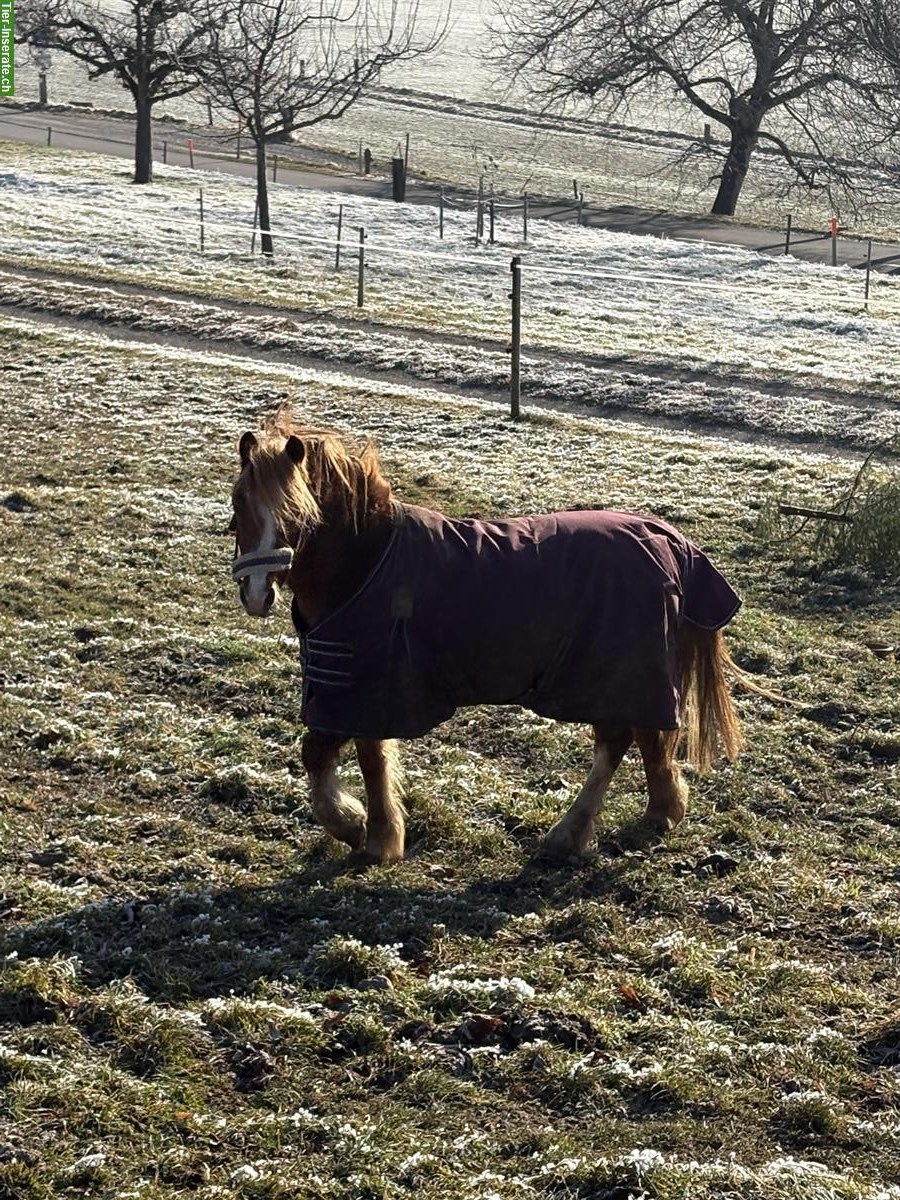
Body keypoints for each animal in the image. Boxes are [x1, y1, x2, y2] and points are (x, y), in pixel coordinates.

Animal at [228, 413, 744, 865]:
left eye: (296, 514)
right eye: (238, 504)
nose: (256, 593)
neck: (367, 563)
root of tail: (667, 539)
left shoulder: (362, 690)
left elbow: (328, 755)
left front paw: (359, 830)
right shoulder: (361, 691)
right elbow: (364, 758)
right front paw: (376, 834)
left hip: (615, 674)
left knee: (616, 743)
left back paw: (568, 835)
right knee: (646, 739)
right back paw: (659, 813)